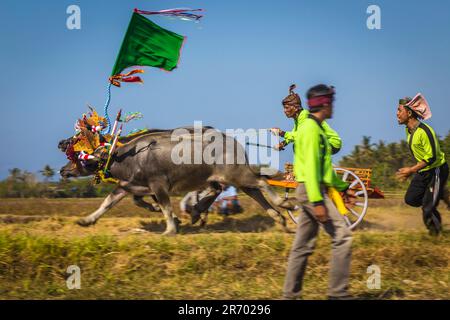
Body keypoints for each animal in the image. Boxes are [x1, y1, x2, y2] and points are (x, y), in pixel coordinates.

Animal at [59, 127, 288, 235]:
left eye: (78, 154)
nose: (62, 170)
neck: (128, 156)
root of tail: (235, 143)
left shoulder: (158, 185)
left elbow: (166, 207)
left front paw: (170, 229)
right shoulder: (127, 185)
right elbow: (107, 203)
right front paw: (87, 220)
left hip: (237, 175)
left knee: (261, 183)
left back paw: (284, 203)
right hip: (235, 179)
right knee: (252, 192)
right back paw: (279, 218)